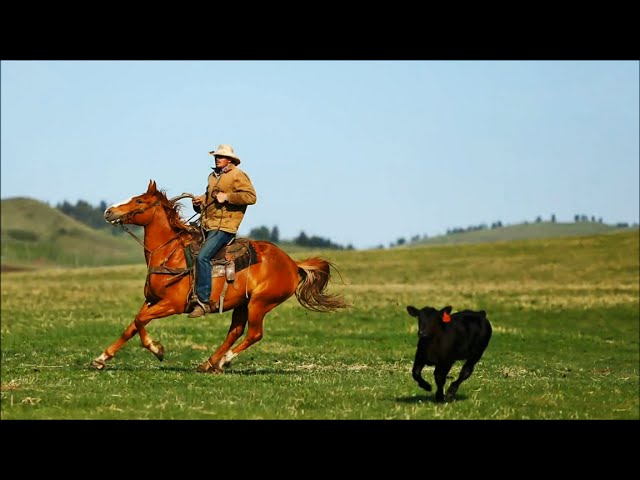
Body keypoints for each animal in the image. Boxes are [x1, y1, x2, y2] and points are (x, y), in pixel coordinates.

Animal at [91, 182, 344, 374]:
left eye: (139, 201)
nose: (108, 211)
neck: (170, 254)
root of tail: (292, 263)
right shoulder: (152, 300)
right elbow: (134, 324)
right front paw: (102, 358)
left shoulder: (172, 304)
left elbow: (141, 321)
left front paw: (157, 349)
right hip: (243, 304)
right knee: (235, 331)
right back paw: (210, 363)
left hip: (260, 303)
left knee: (254, 334)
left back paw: (224, 360)